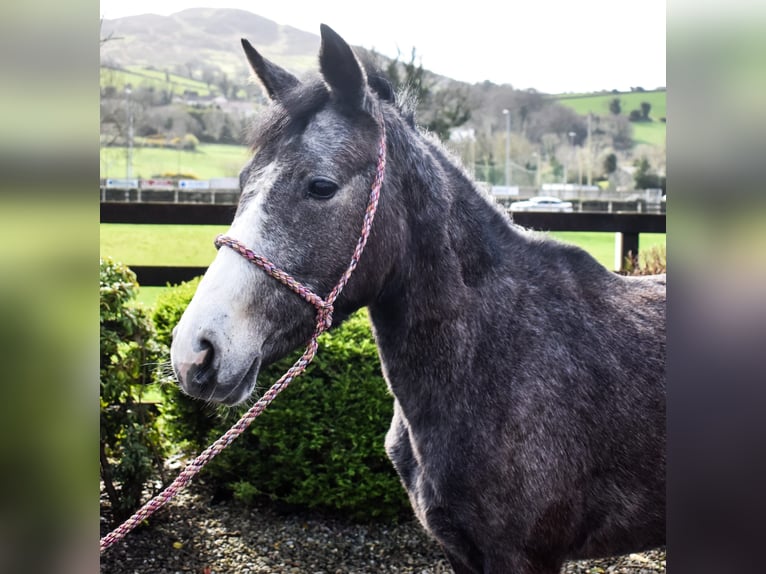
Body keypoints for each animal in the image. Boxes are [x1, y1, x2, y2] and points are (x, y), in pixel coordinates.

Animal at [171, 23, 664, 574]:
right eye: (242, 182)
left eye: (320, 186)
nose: (195, 351)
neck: (499, 353)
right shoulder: (460, 550)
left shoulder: (523, 557)